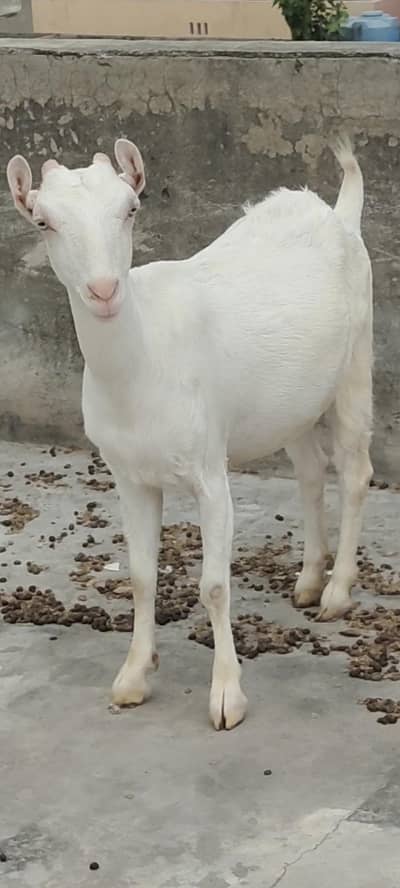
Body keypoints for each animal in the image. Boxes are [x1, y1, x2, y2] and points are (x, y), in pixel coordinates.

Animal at [7, 138, 373, 730]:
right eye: (43, 221)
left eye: (131, 209)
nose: (104, 291)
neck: (144, 358)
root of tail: (340, 214)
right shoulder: (129, 476)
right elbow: (140, 575)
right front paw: (134, 676)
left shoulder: (209, 472)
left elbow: (216, 585)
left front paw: (227, 696)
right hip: (289, 401)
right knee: (311, 473)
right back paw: (308, 582)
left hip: (356, 362)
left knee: (356, 471)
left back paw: (337, 592)